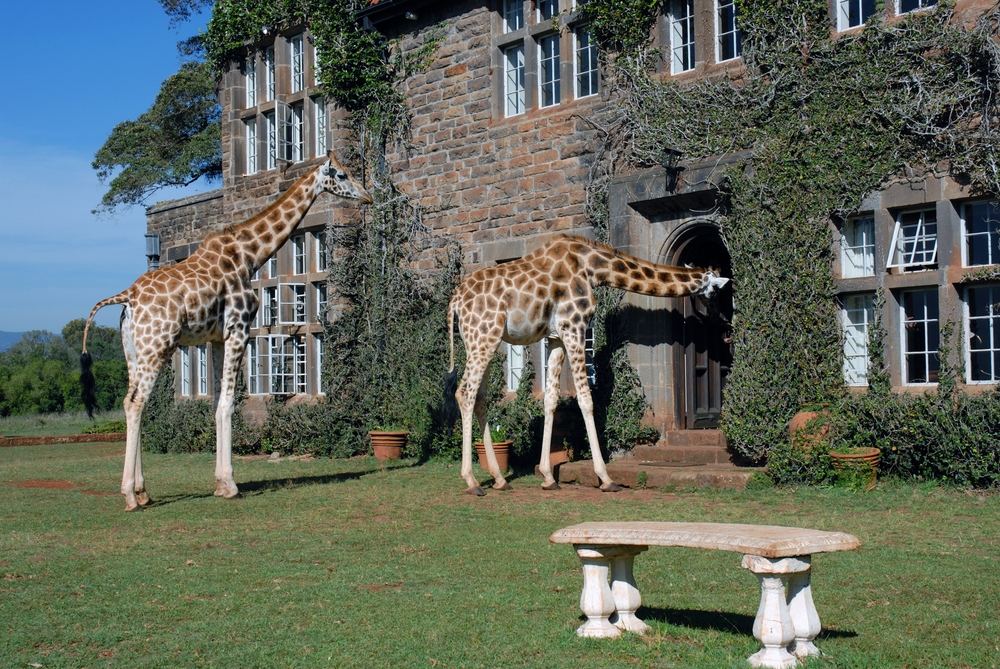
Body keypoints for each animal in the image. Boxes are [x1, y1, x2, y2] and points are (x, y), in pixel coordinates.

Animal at [80, 153, 372, 511]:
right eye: (342, 175)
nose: (367, 196)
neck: (249, 255)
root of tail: (127, 298)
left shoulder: (216, 338)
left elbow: (218, 401)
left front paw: (220, 483)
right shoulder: (238, 329)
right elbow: (229, 405)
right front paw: (231, 485)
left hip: (133, 352)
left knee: (129, 402)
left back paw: (143, 491)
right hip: (157, 346)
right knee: (136, 403)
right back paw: (130, 497)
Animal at [445, 235, 729, 496]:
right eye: (716, 291)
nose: (724, 321)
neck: (593, 268)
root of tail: (455, 301)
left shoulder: (556, 337)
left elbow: (551, 399)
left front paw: (548, 477)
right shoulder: (575, 326)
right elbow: (586, 399)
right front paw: (606, 477)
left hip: (484, 341)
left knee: (479, 398)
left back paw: (500, 479)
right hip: (483, 338)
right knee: (465, 393)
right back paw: (472, 482)